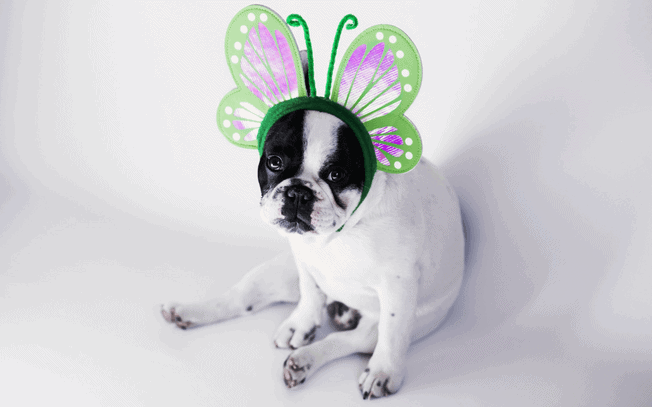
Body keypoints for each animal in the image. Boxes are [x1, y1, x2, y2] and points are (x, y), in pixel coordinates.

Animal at [161, 52, 464, 400]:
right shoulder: (304, 261)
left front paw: (384, 372)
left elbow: (392, 334)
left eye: (336, 174)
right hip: (277, 273)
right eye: (274, 162)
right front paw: (302, 323)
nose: (298, 192)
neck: (341, 233)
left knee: (347, 340)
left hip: (391, 324)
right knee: (240, 299)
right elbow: (310, 294)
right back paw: (188, 312)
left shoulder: (397, 287)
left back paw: (304, 361)